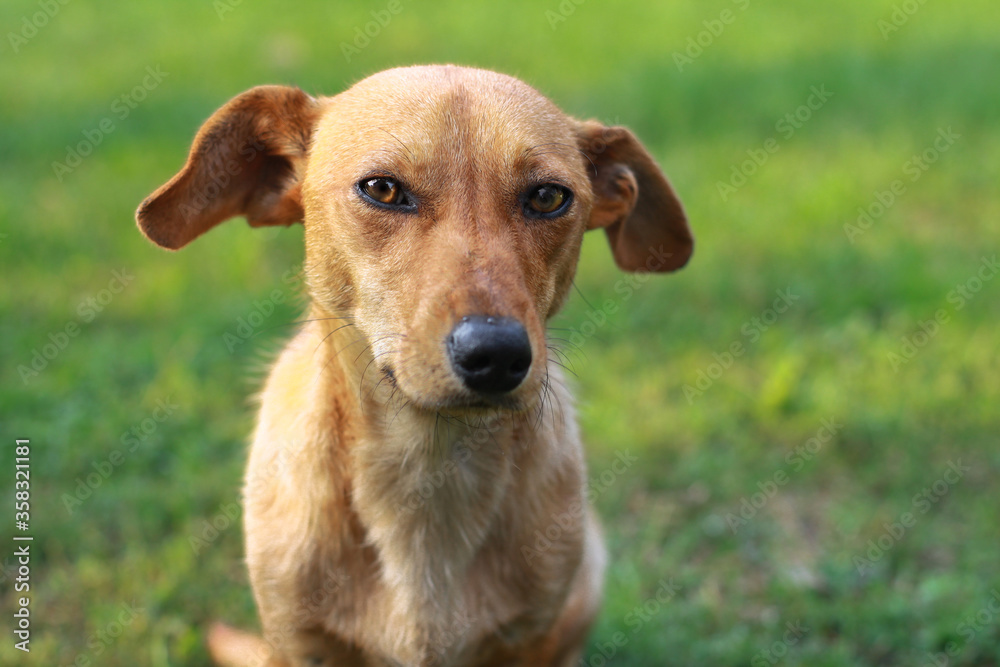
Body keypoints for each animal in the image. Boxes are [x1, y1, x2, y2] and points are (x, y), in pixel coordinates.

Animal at [137, 64, 692, 667]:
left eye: (548, 197)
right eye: (382, 189)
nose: (496, 353)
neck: (427, 472)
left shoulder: (531, 636)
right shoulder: (303, 641)